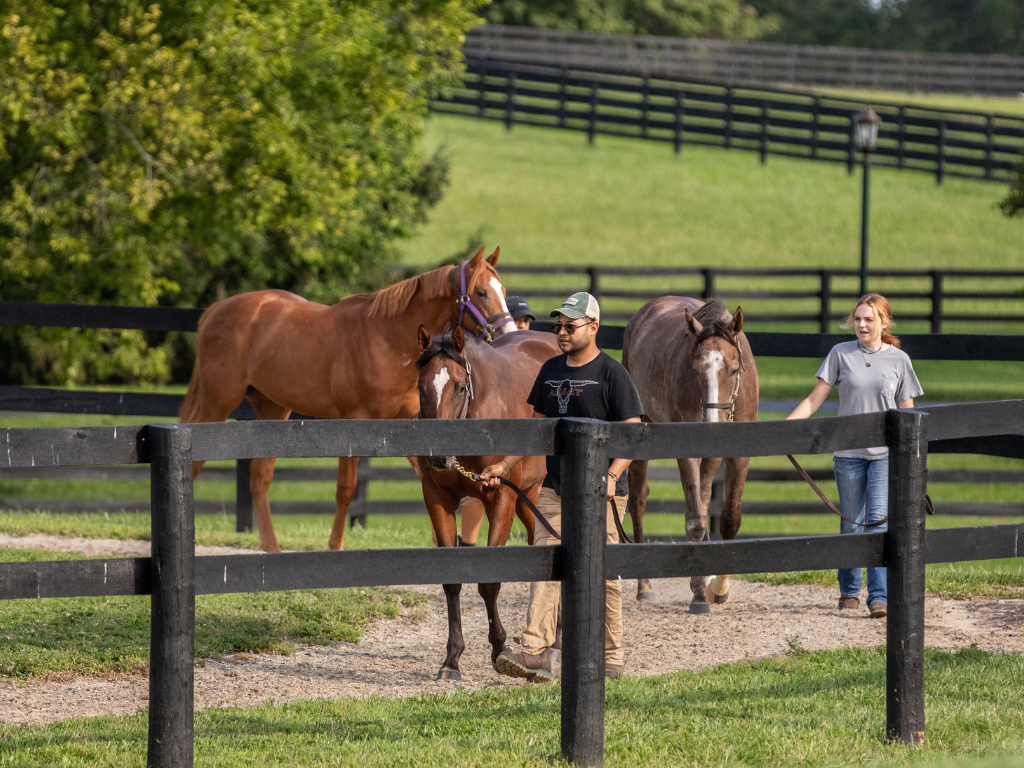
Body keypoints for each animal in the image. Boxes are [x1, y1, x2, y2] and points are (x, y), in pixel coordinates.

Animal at [180, 249, 516, 557]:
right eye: (481, 292)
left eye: (503, 291)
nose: (509, 332)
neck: (387, 340)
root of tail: (215, 310)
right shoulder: (353, 422)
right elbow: (346, 490)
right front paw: (336, 545)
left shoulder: (408, 423)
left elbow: (425, 477)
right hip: (216, 403)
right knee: (196, 463)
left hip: (272, 409)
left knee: (259, 477)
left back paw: (271, 547)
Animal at [415, 323, 561, 679]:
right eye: (421, 387)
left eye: (459, 386)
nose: (438, 455)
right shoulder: (437, 498)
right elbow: (452, 583)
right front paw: (452, 659)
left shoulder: (501, 497)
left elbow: (490, 583)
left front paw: (500, 648)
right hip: (530, 499)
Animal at [618, 296, 757, 618]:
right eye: (695, 370)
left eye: (734, 369)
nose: (711, 425)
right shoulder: (687, 453)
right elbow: (695, 521)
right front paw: (699, 595)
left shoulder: (738, 455)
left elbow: (728, 520)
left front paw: (717, 587)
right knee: (639, 499)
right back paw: (645, 588)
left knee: (703, 499)